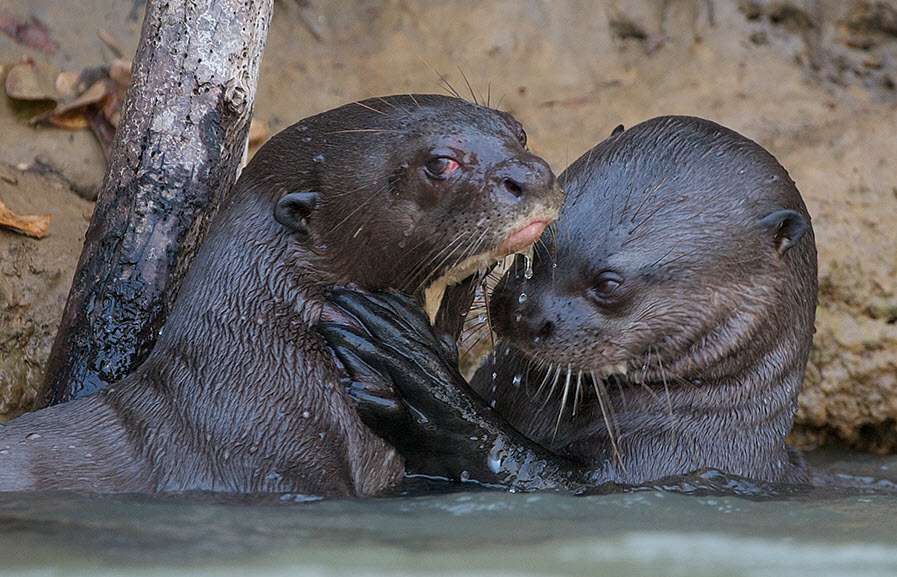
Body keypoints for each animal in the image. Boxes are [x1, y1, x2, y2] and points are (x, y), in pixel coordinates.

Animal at [320, 115, 818, 489]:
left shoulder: (665, 462)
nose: (524, 312)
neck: (703, 416)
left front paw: (420, 377)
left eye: (609, 284)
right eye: (540, 242)